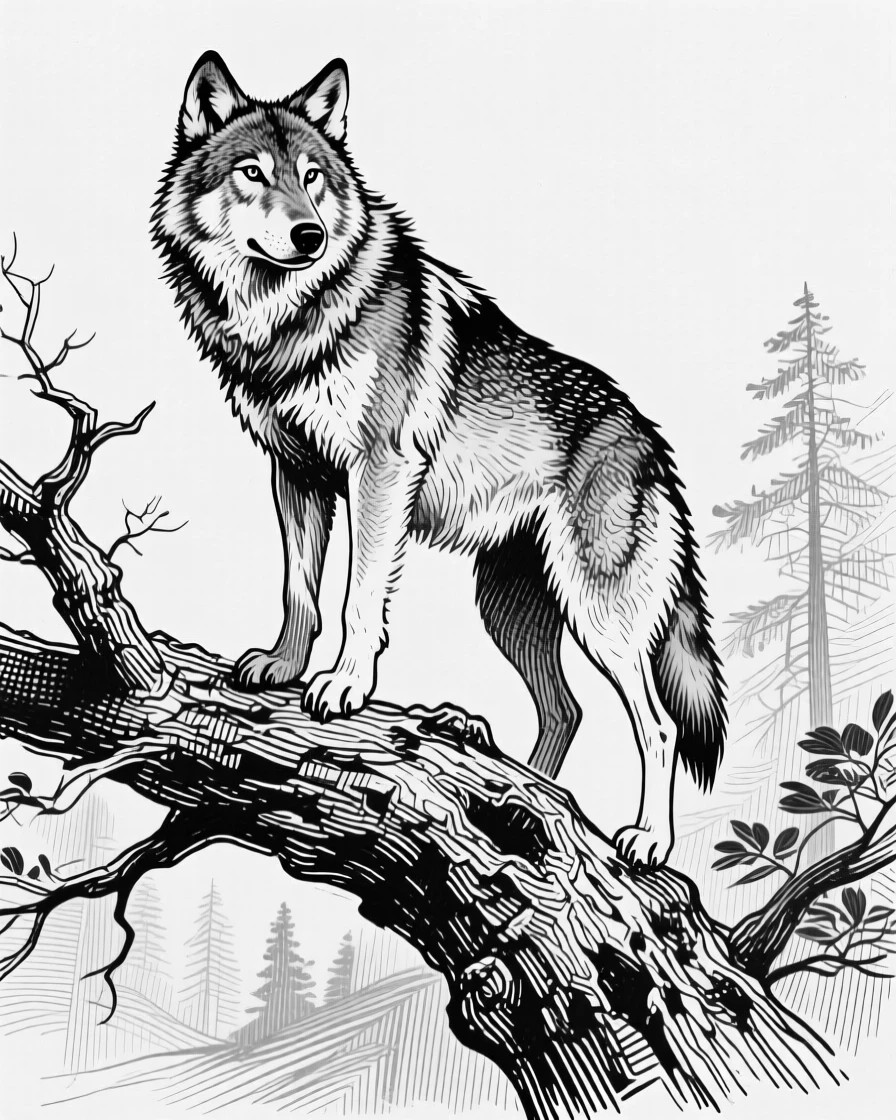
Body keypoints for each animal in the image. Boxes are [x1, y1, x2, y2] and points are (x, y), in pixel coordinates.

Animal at [153, 52, 726, 866]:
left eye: (313, 176)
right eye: (253, 172)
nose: (309, 236)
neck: (290, 318)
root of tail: (650, 442)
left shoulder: (378, 471)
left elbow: (358, 599)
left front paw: (343, 685)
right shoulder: (295, 473)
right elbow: (301, 588)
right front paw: (284, 667)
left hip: (598, 615)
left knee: (660, 725)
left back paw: (646, 839)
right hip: (509, 609)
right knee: (567, 712)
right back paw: (526, 798)